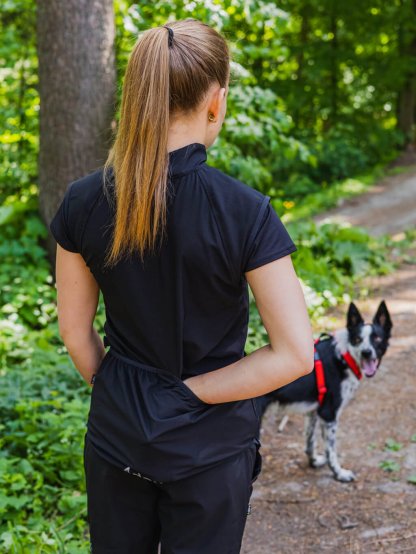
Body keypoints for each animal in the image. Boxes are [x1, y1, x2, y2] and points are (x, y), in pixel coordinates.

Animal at [258, 300, 392, 480]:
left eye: (377, 338)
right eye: (357, 339)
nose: (366, 353)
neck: (344, 357)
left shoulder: (314, 411)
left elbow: (309, 441)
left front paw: (314, 462)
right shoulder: (329, 414)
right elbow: (331, 450)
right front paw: (339, 473)